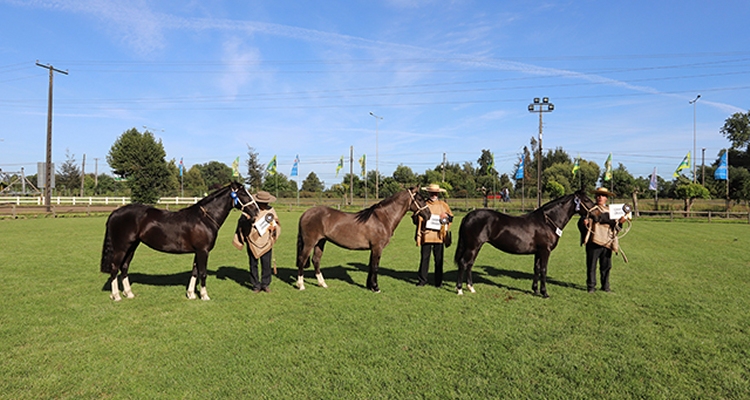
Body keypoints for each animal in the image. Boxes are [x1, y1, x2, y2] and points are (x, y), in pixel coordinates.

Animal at [100, 181, 260, 300]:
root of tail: (115, 213)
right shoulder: (203, 251)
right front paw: (204, 296)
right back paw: (116, 296)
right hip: (121, 247)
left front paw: (191, 294)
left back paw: (129, 293)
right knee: (114, 268)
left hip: (132, 247)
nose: (257, 211)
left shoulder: (198, 251)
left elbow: (195, 271)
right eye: (243, 193)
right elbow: (202, 273)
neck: (204, 219)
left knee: (124, 267)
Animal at [296, 188, 432, 294]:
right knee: (302, 259)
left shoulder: (373, 248)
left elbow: (371, 266)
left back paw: (322, 283)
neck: (382, 218)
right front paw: (376, 288)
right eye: (420, 199)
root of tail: (305, 213)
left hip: (320, 242)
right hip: (309, 243)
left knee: (316, 260)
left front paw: (369, 286)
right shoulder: (377, 247)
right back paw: (301, 285)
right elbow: (375, 266)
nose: (429, 215)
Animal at [456, 190, 596, 296]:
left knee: (469, 264)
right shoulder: (545, 251)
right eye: (587, 200)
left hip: (475, 247)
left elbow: (536, 269)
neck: (547, 222)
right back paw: (460, 290)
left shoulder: (538, 252)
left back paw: (471, 288)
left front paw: (535, 290)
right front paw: (544, 293)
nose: (598, 214)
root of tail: (468, 216)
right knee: (463, 263)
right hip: (472, 247)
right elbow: (543, 269)